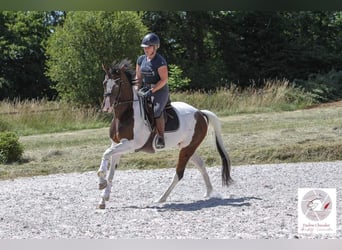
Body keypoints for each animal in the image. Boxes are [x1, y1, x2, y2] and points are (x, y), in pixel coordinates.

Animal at [96, 59, 232, 209]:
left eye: (117, 84)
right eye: (104, 83)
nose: (106, 107)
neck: (125, 114)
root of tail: (200, 113)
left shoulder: (131, 144)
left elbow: (106, 153)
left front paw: (101, 180)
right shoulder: (116, 144)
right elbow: (111, 171)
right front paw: (103, 198)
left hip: (187, 148)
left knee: (179, 173)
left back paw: (162, 198)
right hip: (187, 146)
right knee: (200, 164)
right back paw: (208, 191)